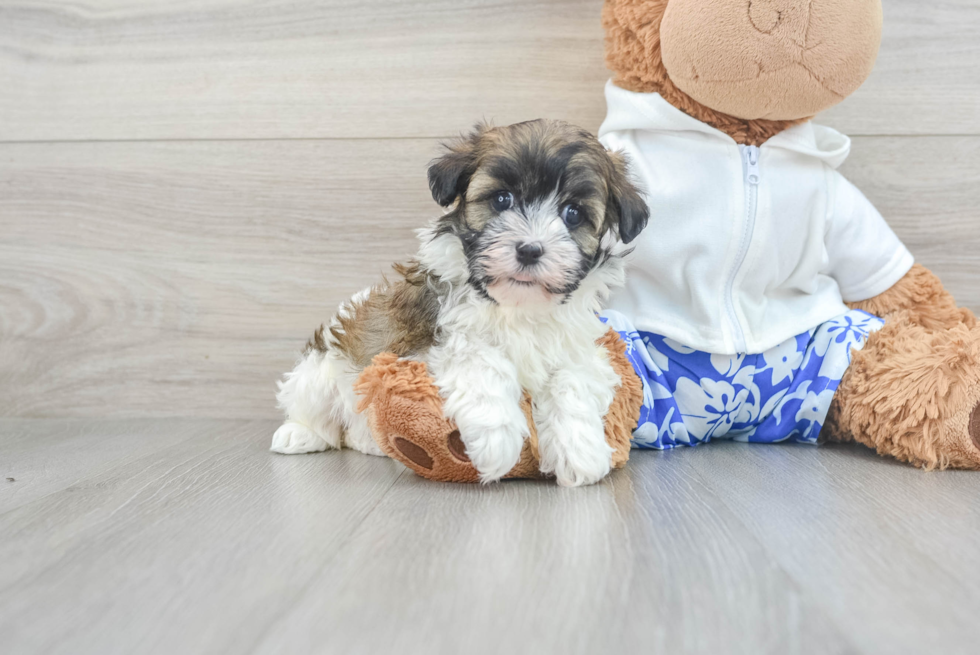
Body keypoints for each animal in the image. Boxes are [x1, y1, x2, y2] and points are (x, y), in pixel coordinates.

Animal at [272, 119, 648, 486]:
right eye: (502, 199)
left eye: (573, 213)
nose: (529, 249)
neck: (516, 305)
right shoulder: (423, 343)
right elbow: (480, 355)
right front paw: (497, 438)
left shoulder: (578, 346)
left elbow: (573, 378)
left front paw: (580, 449)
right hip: (321, 369)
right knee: (316, 410)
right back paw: (299, 434)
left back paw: (371, 443)